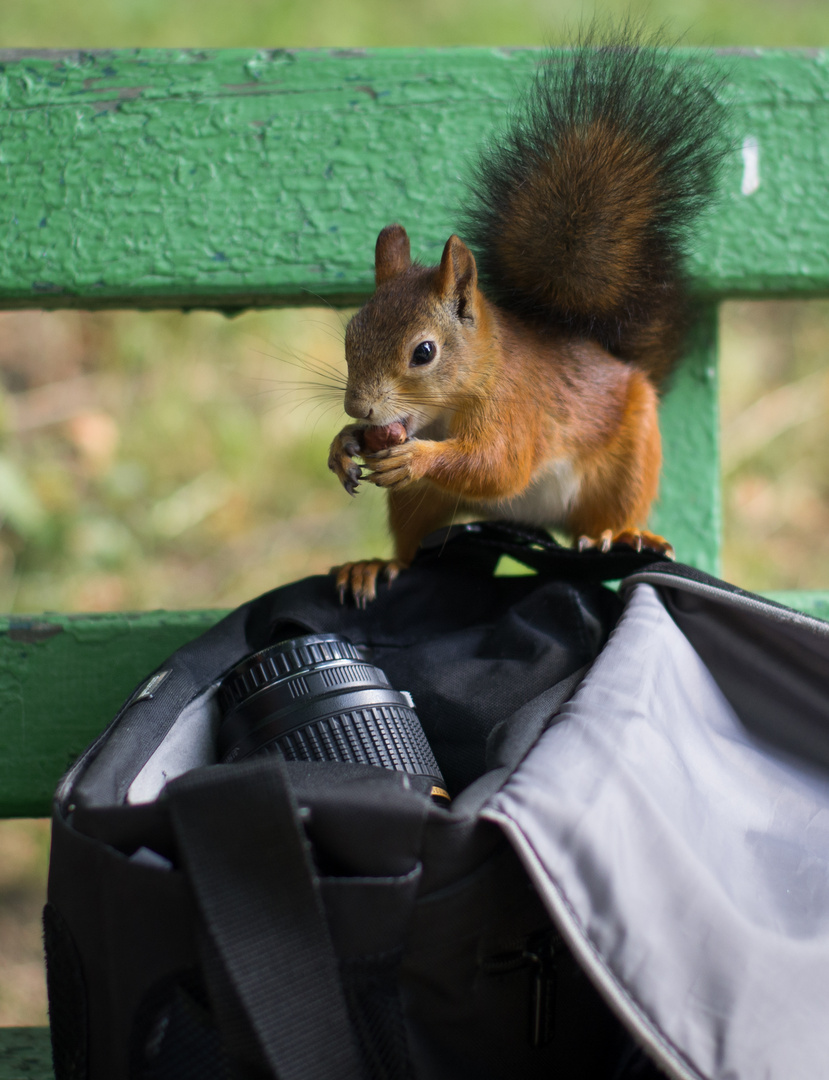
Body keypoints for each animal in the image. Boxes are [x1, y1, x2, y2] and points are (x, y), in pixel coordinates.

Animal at [328, 33, 725, 604]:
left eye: (423, 352)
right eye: (350, 335)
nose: (358, 407)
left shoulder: (517, 410)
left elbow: (499, 466)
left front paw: (416, 458)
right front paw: (344, 443)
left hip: (627, 463)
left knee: (608, 514)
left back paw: (619, 535)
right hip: (419, 504)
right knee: (411, 551)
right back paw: (377, 566)